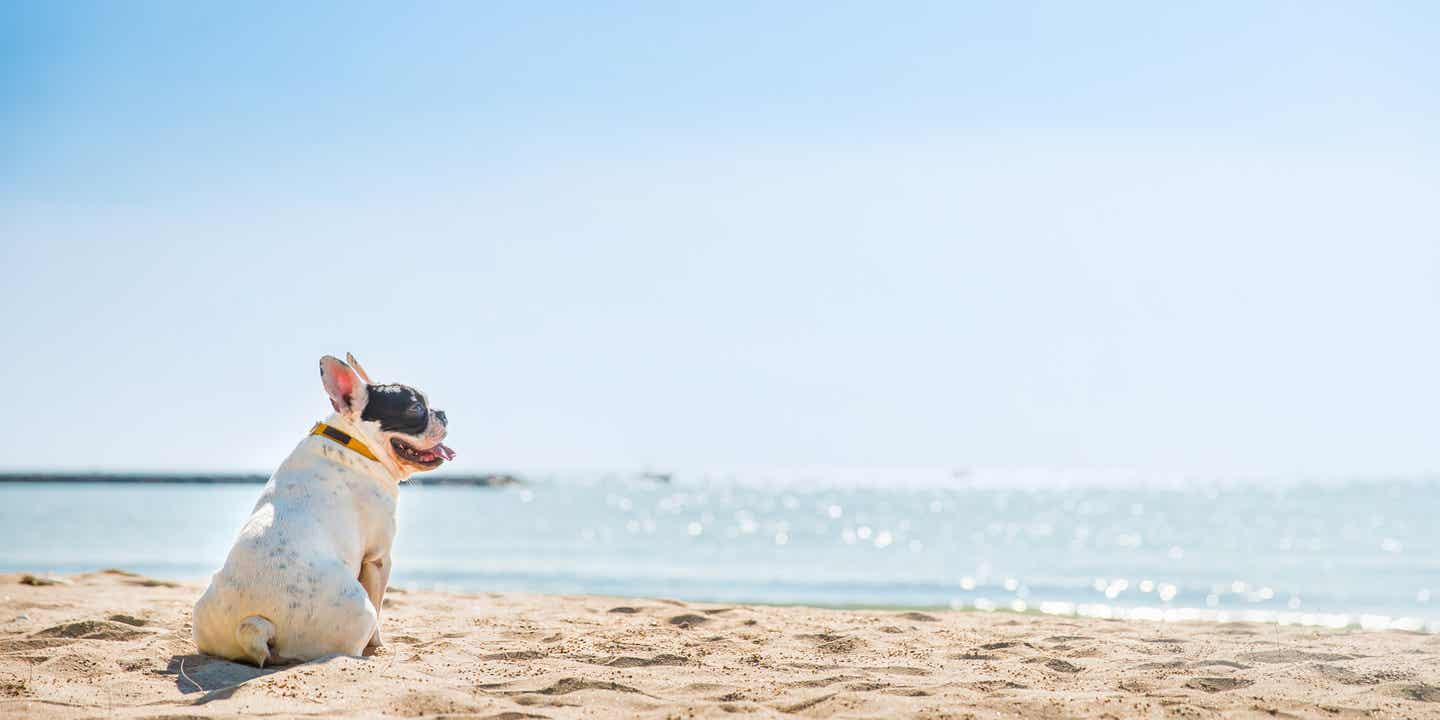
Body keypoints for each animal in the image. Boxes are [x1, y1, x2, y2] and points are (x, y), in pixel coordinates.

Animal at [191, 351, 449, 665]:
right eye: (415, 409)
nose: (442, 413)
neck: (355, 441)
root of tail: (255, 624)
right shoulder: (378, 559)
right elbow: (380, 608)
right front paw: (379, 645)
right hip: (359, 610)